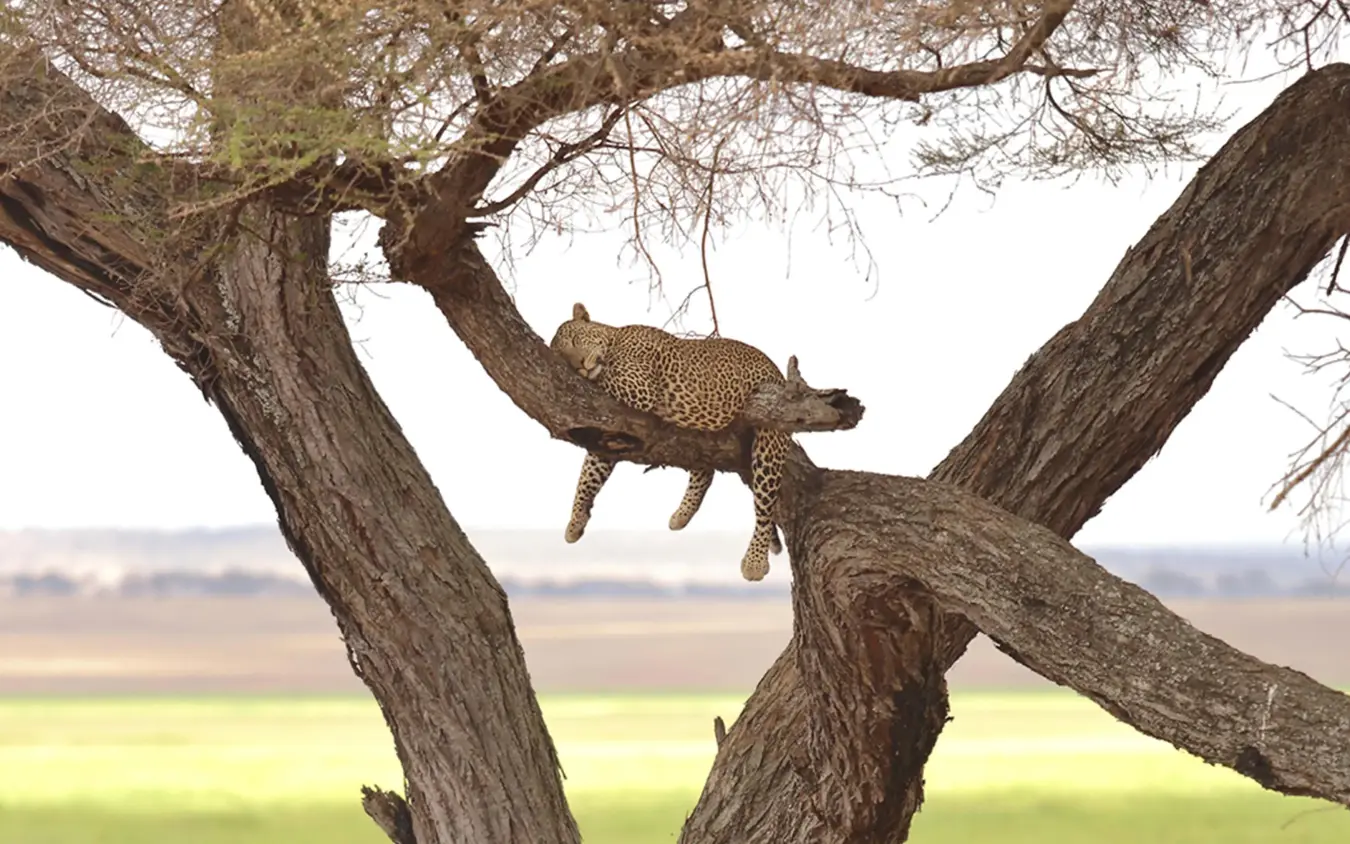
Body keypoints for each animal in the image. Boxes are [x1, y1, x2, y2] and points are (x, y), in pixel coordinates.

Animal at [549, 302, 790, 581]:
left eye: (576, 340)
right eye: (564, 358)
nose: (579, 367)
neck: (615, 338)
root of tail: (779, 374)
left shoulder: (637, 387)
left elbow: (605, 378)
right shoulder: (608, 435)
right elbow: (588, 476)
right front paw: (575, 522)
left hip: (769, 439)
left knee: (764, 504)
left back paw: (755, 563)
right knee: (705, 473)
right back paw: (681, 516)